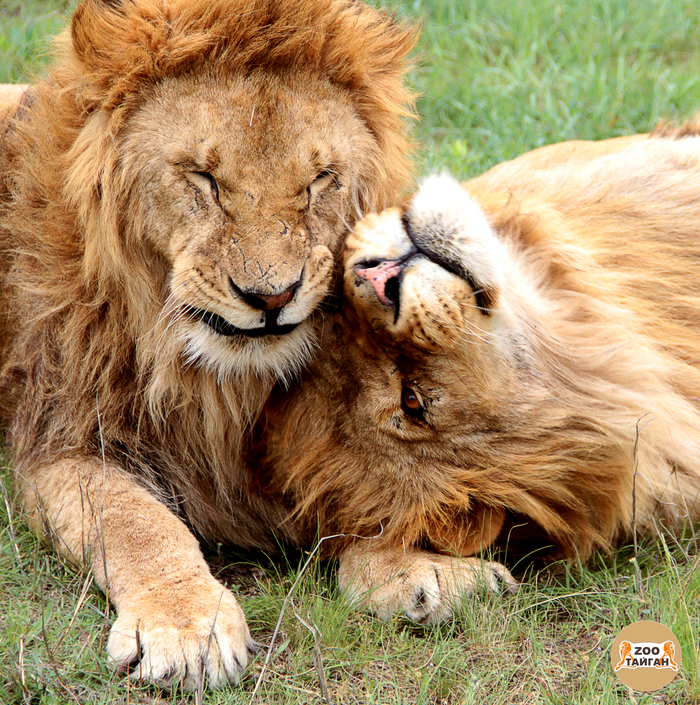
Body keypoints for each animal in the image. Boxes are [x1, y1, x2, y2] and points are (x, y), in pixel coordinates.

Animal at [0, 0, 416, 688]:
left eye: (319, 181)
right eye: (205, 179)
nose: (271, 298)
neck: (219, 382)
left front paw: (419, 565)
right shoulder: (58, 438)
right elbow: (134, 522)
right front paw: (186, 625)